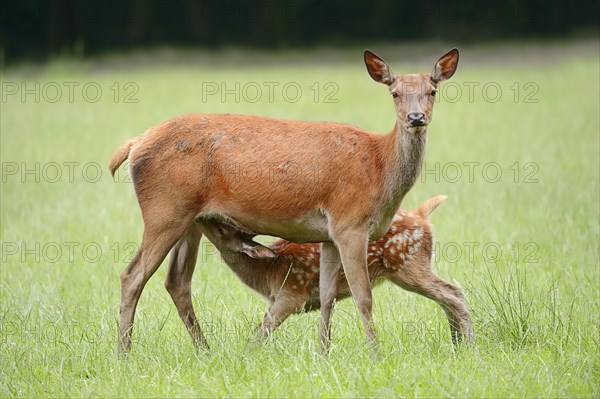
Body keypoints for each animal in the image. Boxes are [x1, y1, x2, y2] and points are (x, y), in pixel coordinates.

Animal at [197, 195, 474, 346]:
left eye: (222, 229)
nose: (202, 215)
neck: (268, 272)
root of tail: (422, 216)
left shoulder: (291, 294)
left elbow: (260, 332)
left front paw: (244, 356)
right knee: (447, 298)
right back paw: (457, 343)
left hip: (408, 265)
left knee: (453, 293)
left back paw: (468, 346)